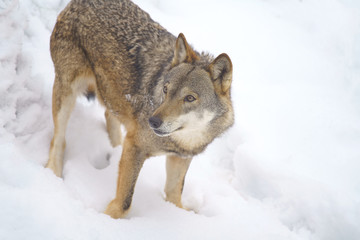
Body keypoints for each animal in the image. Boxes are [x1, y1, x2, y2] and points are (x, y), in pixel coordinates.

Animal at [45, 0, 233, 218]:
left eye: (190, 98)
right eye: (165, 89)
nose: (153, 121)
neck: (182, 140)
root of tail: (79, 2)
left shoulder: (180, 158)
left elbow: (174, 195)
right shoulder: (136, 148)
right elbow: (125, 202)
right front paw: (108, 218)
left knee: (109, 117)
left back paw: (114, 149)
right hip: (67, 93)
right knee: (58, 139)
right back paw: (53, 173)